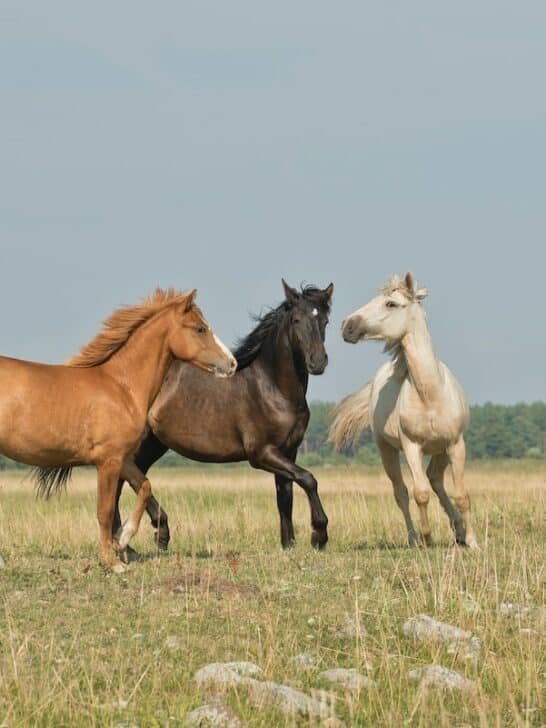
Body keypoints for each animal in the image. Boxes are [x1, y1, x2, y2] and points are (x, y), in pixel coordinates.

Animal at [0, 288, 236, 571]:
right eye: (200, 328)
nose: (232, 364)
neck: (122, 386)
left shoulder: (122, 458)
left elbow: (145, 487)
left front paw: (122, 541)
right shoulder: (108, 461)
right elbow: (105, 511)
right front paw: (112, 561)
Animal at [114, 280, 333, 552]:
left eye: (325, 320)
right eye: (296, 319)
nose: (318, 362)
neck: (272, 388)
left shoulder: (288, 451)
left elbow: (285, 496)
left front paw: (288, 545)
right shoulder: (261, 453)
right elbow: (308, 478)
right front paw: (319, 535)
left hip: (152, 444)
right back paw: (143, 535)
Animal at [329, 272, 478, 549]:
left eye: (391, 304)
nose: (347, 326)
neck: (430, 395)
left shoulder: (456, 445)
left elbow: (462, 494)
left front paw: (473, 542)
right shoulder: (411, 446)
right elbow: (420, 493)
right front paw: (427, 538)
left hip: (441, 450)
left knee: (435, 479)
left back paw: (459, 531)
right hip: (386, 450)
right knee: (402, 492)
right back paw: (414, 538)